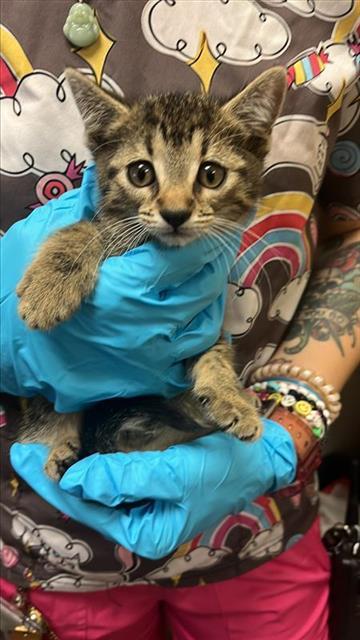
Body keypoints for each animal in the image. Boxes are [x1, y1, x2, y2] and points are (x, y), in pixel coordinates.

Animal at [16, 70, 286, 480]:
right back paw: (61, 450)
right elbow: (86, 229)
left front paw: (231, 397)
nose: (175, 213)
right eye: (140, 173)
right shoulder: (108, 225)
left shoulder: (203, 324)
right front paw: (51, 285)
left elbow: (216, 354)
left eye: (211, 174)